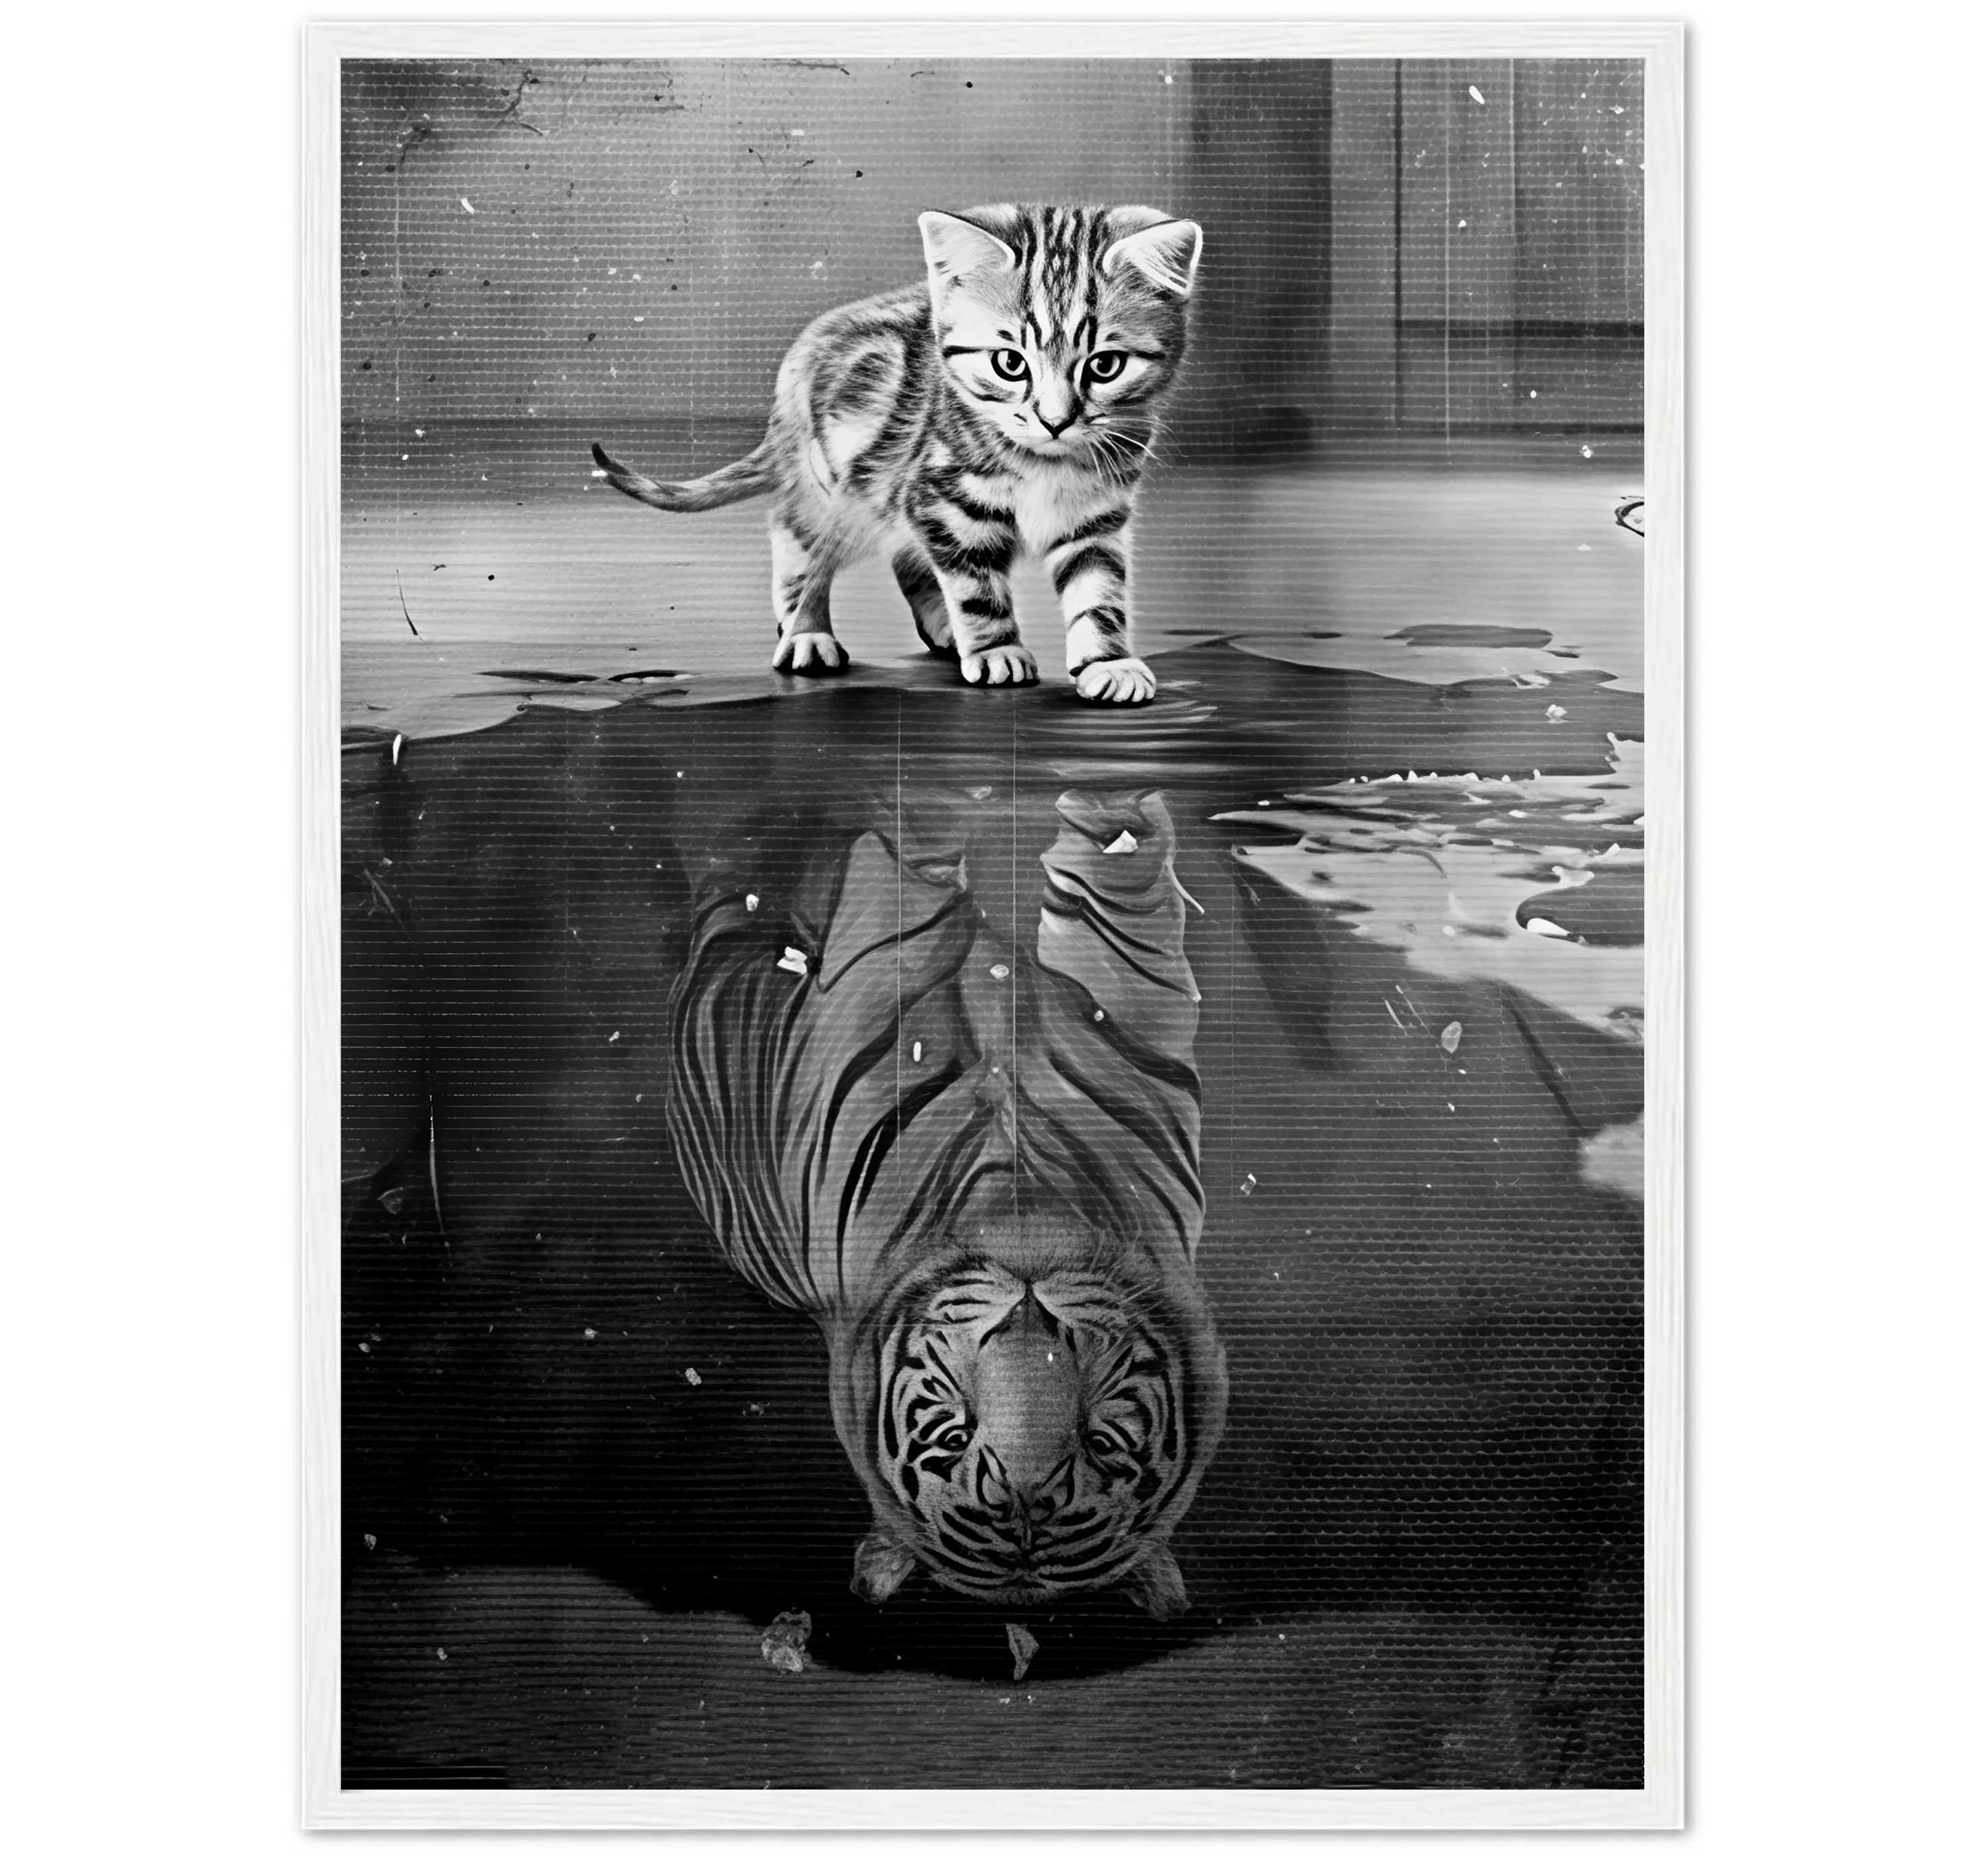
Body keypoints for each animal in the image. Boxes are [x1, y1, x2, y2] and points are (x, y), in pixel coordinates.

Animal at [592, 203, 1204, 706]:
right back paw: (807, 632)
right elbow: (976, 586)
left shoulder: (1094, 515)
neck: (1045, 464)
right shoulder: (941, 494)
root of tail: (796, 367)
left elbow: (1098, 591)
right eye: (1010, 363)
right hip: (837, 489)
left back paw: (940, 625)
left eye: (1104, 366)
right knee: (796, 539)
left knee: (906, 557)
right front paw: (995, 648)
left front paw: (1108, 660)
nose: (1056, 421)